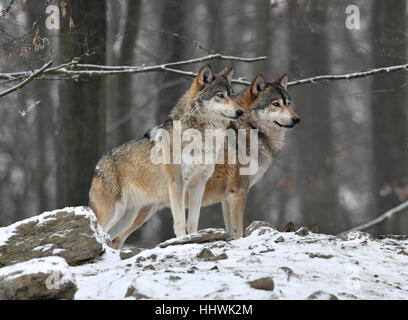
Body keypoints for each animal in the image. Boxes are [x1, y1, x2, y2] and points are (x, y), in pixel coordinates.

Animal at [89, 64, 242, 245]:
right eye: (220, 95)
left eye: (232, 95)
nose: (240, 112)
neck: (201, 136)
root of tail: (98, 165)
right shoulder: (178, 183)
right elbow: (180, 221)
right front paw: (182, 241)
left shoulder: (199, 185)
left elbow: (193, 221)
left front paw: (195, 238)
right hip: (114, 213)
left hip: (130, 217)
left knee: (113, 240)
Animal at [110, 73, 302, 248]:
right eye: (276, 104)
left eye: (288, 103)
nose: (297, 119)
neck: (247, 129)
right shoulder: (238, 191)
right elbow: (238, 231)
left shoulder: (227, 197)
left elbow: (230, 230)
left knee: (115, 240)